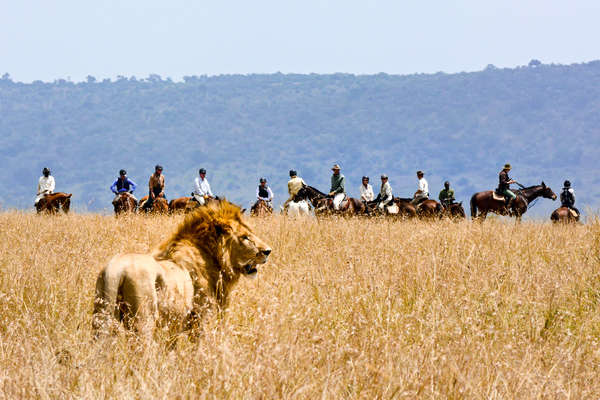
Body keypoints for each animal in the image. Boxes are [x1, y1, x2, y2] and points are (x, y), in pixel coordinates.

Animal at [91, 200, 272, 338]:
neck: (213, 258)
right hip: (144, 320)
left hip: (101, 317)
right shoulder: (202, 318)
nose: (268, 251)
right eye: (245, 237)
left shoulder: (174, 326)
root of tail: (116, 270)